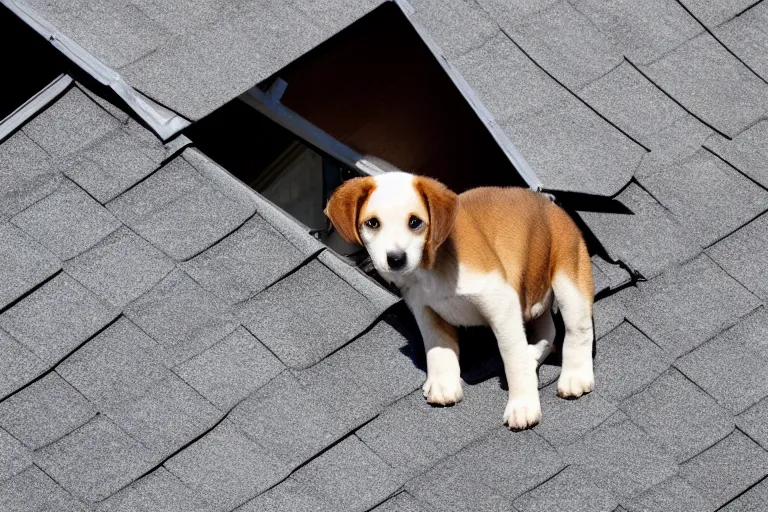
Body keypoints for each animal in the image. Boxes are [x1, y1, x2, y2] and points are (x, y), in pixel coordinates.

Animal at [324, 171, 592, 428]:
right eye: (372, 223)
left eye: (415, 222)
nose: (396, 259)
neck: (432, 269)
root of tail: (548, 204)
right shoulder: (426, 311)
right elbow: (439, 349)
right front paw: (444, 384)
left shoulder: (501, 303)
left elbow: (512, 357)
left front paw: (523, 405)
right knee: (549, 331)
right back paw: (534, 354)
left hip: (569, 280)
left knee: (578, 330)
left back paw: (576, 376)